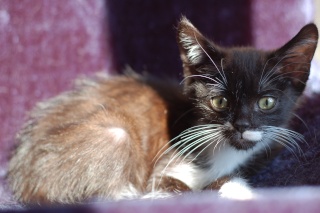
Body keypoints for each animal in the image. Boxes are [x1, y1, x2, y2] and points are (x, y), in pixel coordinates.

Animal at [6, 16, 318, 203]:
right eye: (220, 102)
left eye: (266, 102)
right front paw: (236, 189)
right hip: (114, 135)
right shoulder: (163, 169)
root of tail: (21, 174)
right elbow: (178, 191)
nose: (242, 125)